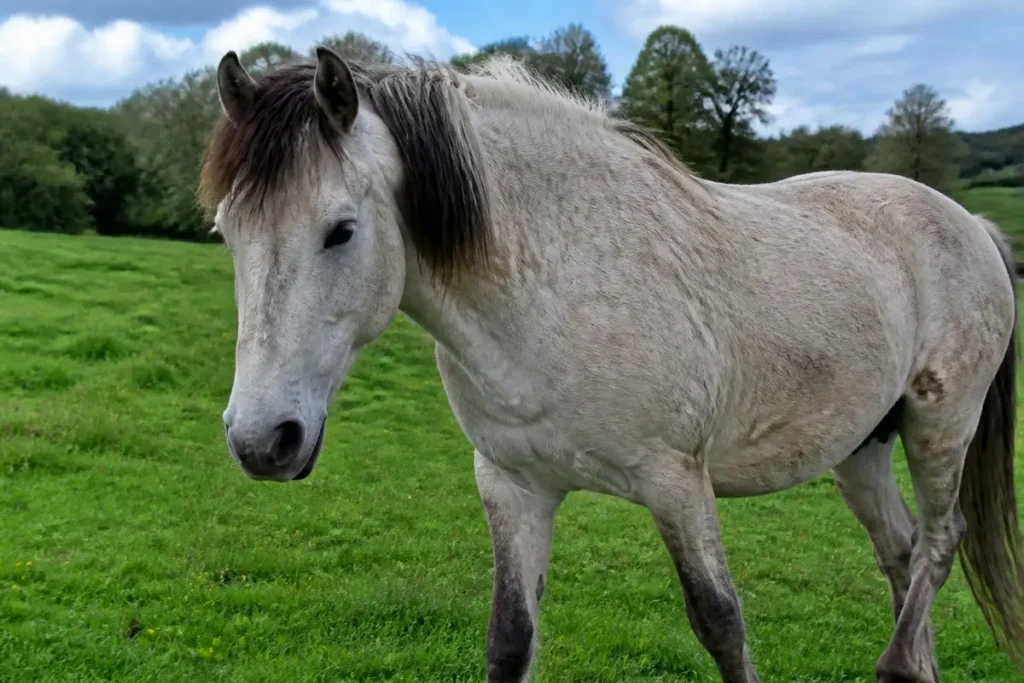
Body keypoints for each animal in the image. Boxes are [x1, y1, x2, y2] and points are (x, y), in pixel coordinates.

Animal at [201, 46, 1024, 682]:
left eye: (340, 230)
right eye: (227, 231)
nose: (260, 440)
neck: (555, 291)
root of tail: (972, 224)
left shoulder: (677, 483)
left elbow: (721, 622)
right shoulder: (513, 486)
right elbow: (510, 641)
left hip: (940, 426)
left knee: (941, 540)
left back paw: (900, 661)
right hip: (860, 449)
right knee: (902, 549)